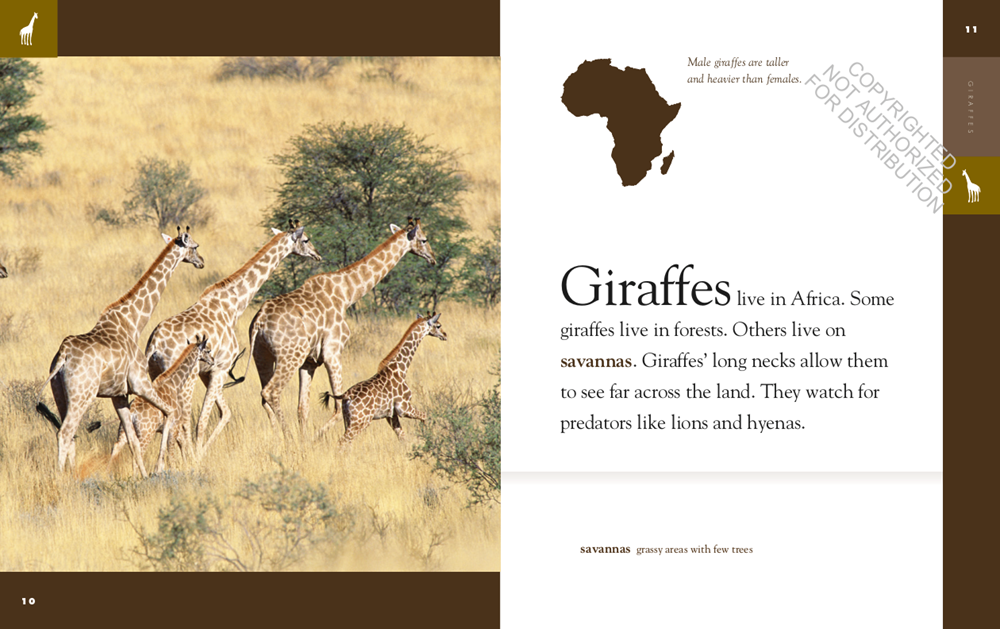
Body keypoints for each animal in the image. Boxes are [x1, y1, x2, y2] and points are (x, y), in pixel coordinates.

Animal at [108, 336, 213, 475]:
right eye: (207, 350)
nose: (213, 361)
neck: (175, 384)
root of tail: (132, 412)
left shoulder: (169, 429)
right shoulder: (174, 426)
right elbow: (171, 453)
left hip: (124, 430)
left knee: (117, 447)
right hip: (145, 433)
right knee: (137, 453)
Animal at [144, 221, 321, 470]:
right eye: (306, 239)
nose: (317, 254)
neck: (234, 305)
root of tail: (154, 346)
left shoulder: (209, 372)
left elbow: (225, 413)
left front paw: (199, 455)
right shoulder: (220, 368)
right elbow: (202, 420)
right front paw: (196, 459)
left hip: (156, 376)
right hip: (183, 380)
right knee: (182, 420)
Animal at [316, 313, 447, 445]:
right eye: (438, 325)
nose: (445, 335)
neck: (401, 369)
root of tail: (347, 395)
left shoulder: (391, 415)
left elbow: (402, 437)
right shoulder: (404, 408)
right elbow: (425, 416)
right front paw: (429, 436)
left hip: (347, 419)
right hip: (361, 421)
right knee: (342, 442)